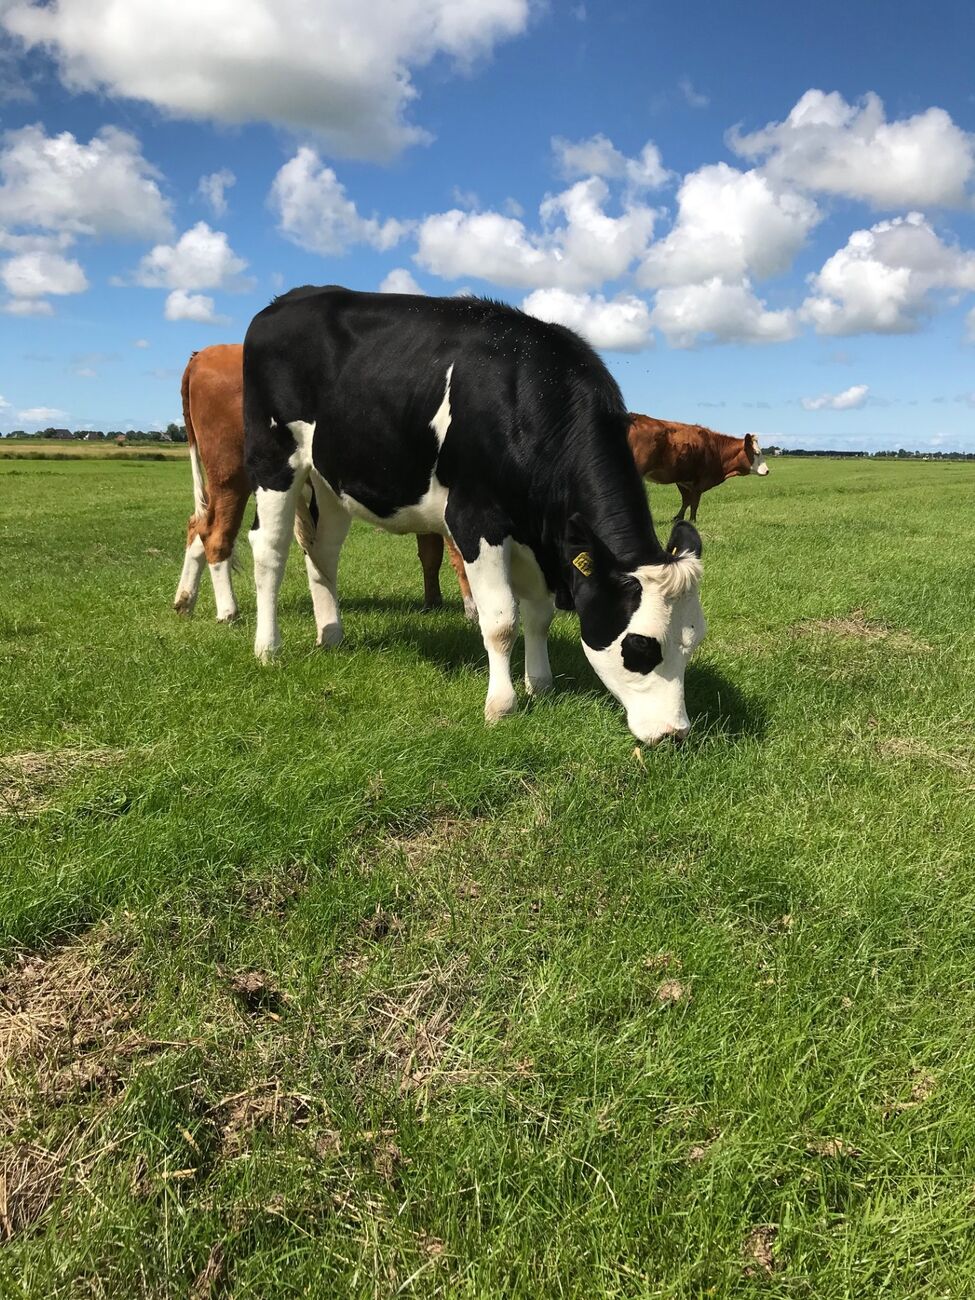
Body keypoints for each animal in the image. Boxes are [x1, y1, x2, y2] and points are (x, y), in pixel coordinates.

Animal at [173, 344, 473, 623]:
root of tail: (206, 353)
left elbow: (431, 554)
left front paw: (434, 603)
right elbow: (456, 555)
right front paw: (471, 610)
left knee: (199, 525)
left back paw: (185, 600)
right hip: (231, 474)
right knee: (217, 534)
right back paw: (228, 611)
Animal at [243, 286, 706, 745]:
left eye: (694, 641)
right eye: (640, 647)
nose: (675, 733)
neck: (531, 395)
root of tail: (287, 300)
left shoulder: (536, 536)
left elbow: (538, 615)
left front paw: (540, 685)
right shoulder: (476, 519)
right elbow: (502, 621)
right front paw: (501, 707)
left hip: (331, 480)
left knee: (323, 552)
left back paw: (331, 636)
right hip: (274, 459)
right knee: (269, 551)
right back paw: (268, 649)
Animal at [627, 415, 769, 523]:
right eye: (756, 453)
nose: (767, 471)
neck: (717, 450)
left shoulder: (683, 480)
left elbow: (686, 501)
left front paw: (678, 518)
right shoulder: (700, 481)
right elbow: (694, 502)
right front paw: (692, 520)